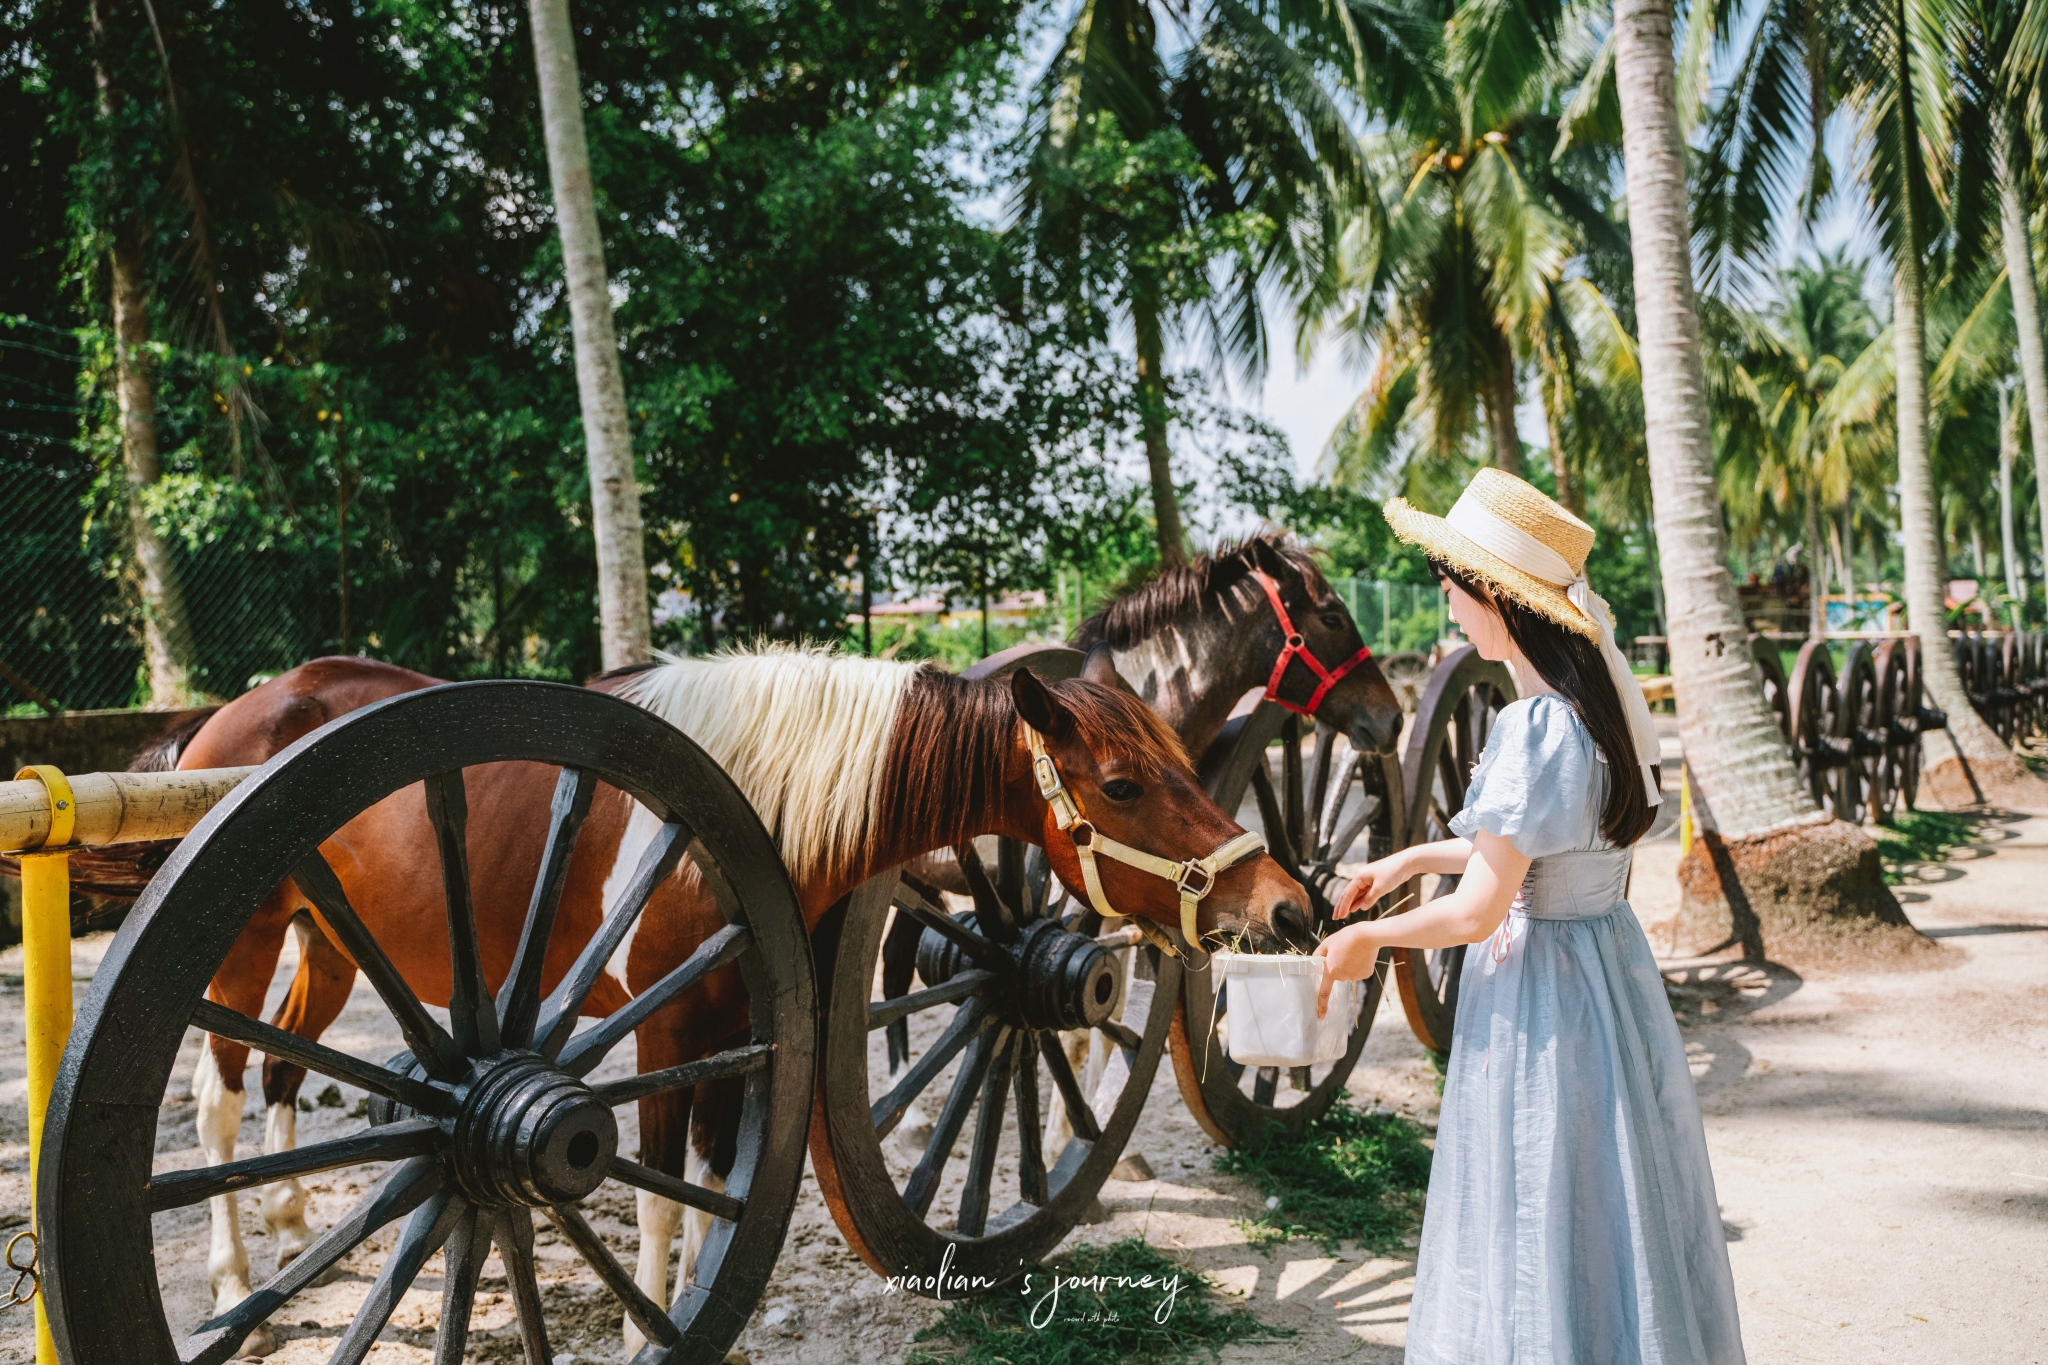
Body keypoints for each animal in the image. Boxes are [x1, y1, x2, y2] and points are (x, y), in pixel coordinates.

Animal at [167, 646, 1302, 1350]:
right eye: (1120, 785)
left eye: (1179, 765)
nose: (1286, 905)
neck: (739, 811)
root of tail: (233, 713)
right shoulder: (662, 1033)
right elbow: (661, 1195)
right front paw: (649, 1326)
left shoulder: (736, 1030)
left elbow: (719, 1183)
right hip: (247, 945)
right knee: (219, 1096)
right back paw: (231, 1280)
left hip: (330, 946)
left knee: (280, 1066)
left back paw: (287, 1225)